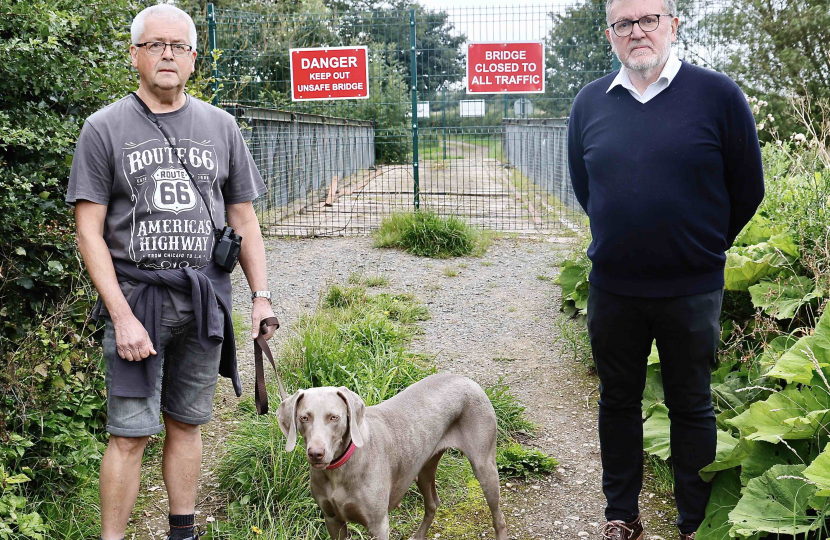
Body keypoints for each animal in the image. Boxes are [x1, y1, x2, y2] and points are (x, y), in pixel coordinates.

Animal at [278, 372, 508, 540]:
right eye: (304, 418)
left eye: (334, 417)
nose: (316, 453)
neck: (339, 470)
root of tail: (466, 378)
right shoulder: (333, 520)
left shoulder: (378, 526)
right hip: (423, 469)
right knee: (433, 503)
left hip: (484, 466)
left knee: (499, 517)